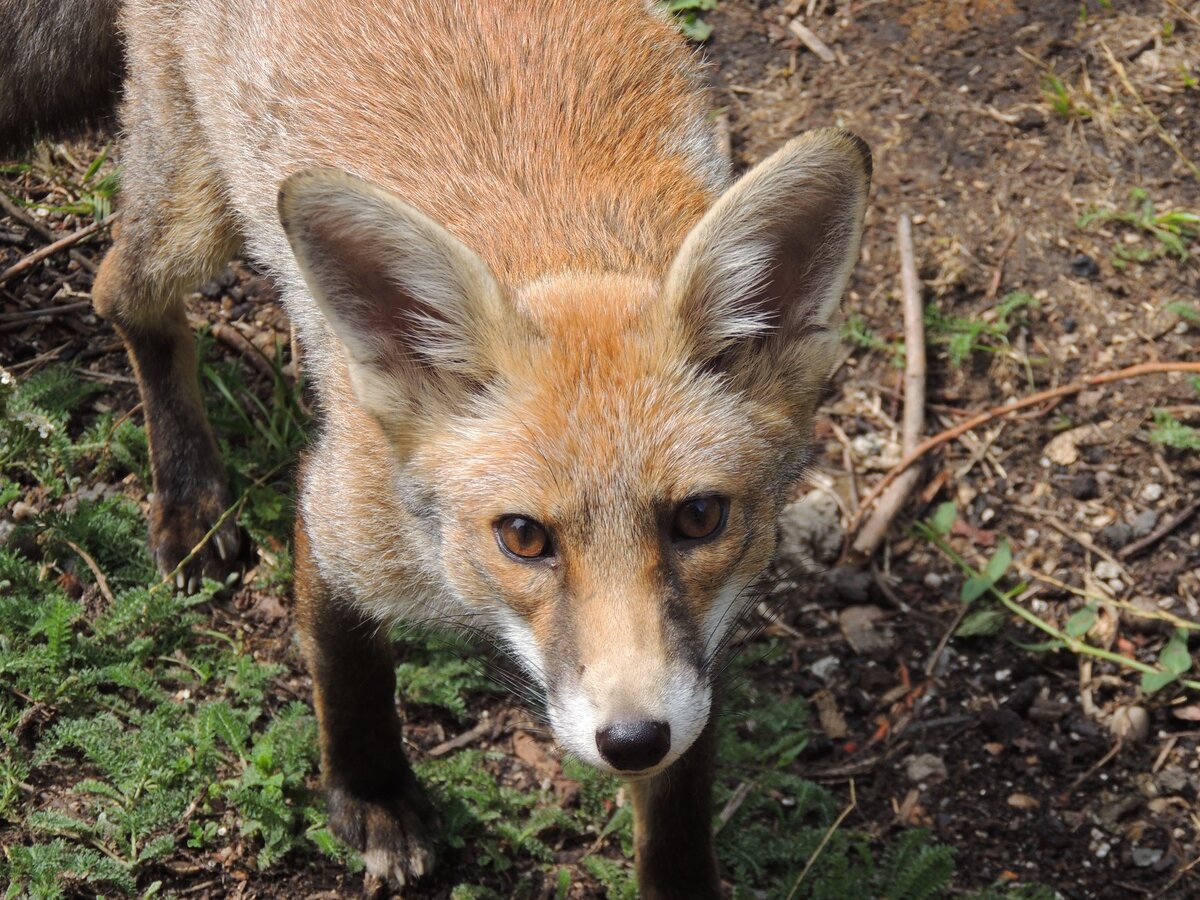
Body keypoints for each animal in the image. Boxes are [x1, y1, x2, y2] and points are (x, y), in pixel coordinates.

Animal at [7, 0, 873, 897]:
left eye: (699, 518)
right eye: (522, 536)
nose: (631, 740)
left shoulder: (700, 651)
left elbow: (676, 811)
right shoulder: (338, 524)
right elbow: (351, 679)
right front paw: (374, 797)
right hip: (188, 220)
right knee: (122, 295)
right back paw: (190, 494)